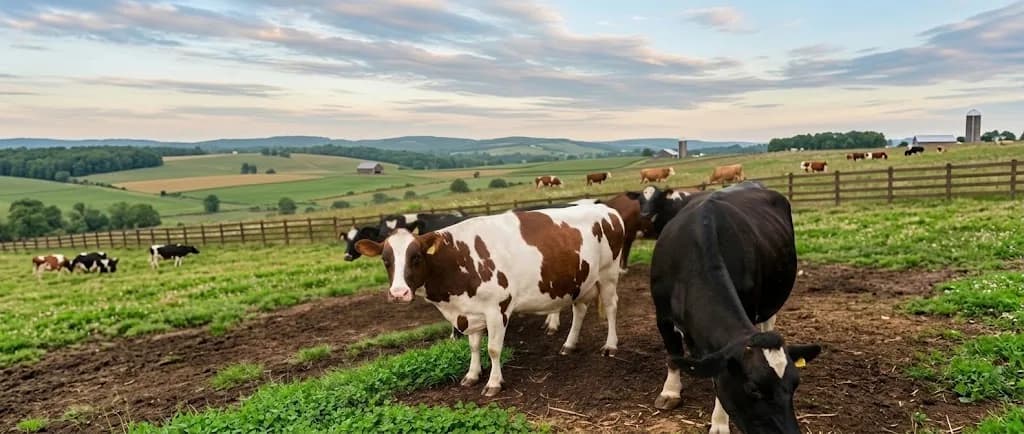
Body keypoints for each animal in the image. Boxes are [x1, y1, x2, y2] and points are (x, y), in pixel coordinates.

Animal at [355, 204, 625, 397]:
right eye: (386, 260)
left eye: (416, 257)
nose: (398, 293)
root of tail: (607, 209)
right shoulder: (470, 311)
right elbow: (474, 346)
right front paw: (472, 375)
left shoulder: (498, 308)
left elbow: (493, 348)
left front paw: (494, 383)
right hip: (581, 281)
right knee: (580, 309)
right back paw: (569, 344)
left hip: (608, 274)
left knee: (612, 308)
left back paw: (610, 346)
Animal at [637, 182, 821, 433]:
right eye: (753, 389)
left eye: (795, 384)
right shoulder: (662, 315)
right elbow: (673, 355)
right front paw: (670, 392)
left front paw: (719, 423)